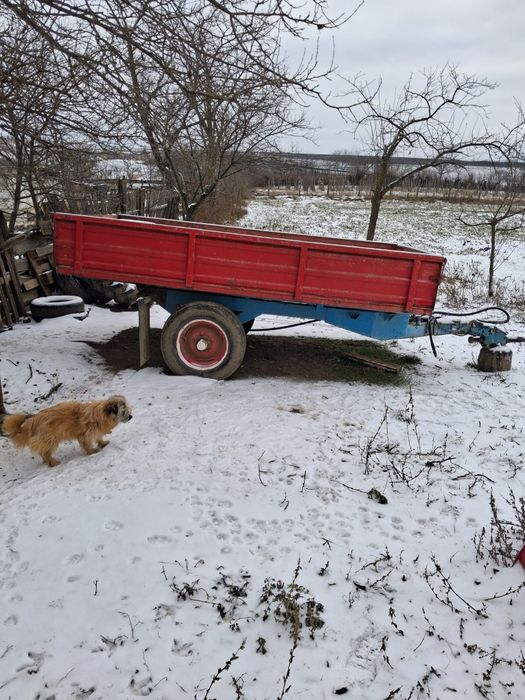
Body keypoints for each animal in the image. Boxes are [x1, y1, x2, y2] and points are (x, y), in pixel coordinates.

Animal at [0, 395, 132, 467]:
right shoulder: (84, 435)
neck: (101, 414)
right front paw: (92, 451)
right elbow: (87, 444)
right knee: (45, 452)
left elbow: (98, 437)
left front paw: (102, 443)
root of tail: (32, 422)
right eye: (123, 411)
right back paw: (52, 462)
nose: (131, 416)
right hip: (50, 439)